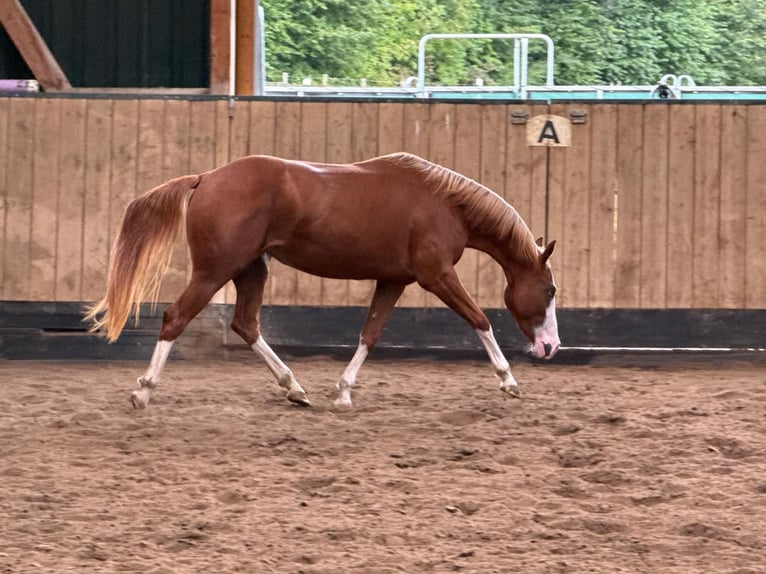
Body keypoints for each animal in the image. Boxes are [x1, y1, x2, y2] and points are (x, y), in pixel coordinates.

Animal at [86, 152, 560, 408]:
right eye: (550, 290)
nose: (551, 347)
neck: (445, 203)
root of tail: (205, 179)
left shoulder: (393, 280)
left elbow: (370, 334)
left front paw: (344, 392)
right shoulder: (436, 275)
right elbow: (480, 319)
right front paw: (509, 381)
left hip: (250, 269)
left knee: (246, 324)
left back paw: (295, 388)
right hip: (215, 271)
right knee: (175, 318)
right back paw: (144, 391)